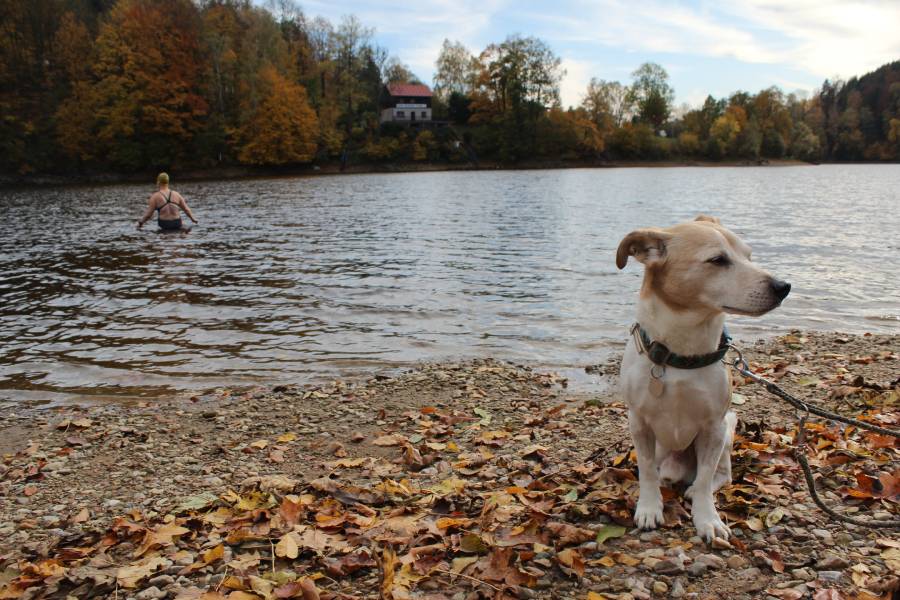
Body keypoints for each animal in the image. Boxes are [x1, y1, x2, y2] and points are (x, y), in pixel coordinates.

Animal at [616, 217, 792, 544]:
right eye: (718, 260)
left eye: (749, 256)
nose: (783, 287)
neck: (681, 356)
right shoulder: (639, 422)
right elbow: (646, 470)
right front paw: (649, 508)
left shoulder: (714, 426)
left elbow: (707, 475)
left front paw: (707, 519)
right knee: (662, 472)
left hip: (729, 426)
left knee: (719, 475)